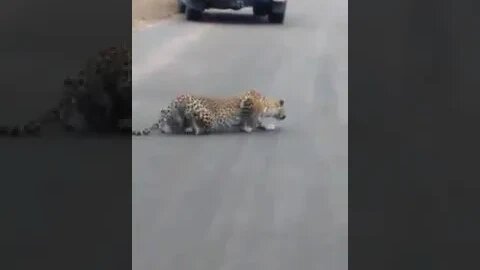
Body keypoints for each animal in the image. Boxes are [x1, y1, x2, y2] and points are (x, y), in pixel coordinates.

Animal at [132, 89, 284, 136]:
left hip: (173, 114)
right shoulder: (247, 100)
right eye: (283, 109)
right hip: (205, 114)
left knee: (167, 119)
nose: (285, 115)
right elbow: (251, 117)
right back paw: (195, 129)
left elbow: (257, 121)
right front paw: (247, 128)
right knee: (202, 125)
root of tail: (178, 98)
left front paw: (267, 126)